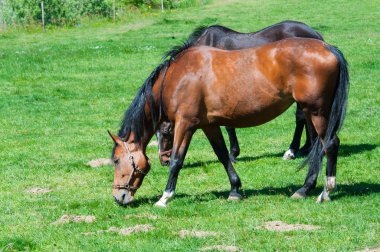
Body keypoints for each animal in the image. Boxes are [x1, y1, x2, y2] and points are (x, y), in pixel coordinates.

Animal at [108, 36, 348, 208]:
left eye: (117, 161)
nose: (119, 197)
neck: (178, 76)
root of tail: (329, 48)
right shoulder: (209, 125)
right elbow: (223, 155)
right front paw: (234, 190)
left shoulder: (185, 125)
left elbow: (178, 160)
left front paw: (165, 197)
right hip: (310, 112)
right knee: (317, 148)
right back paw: (304, 189)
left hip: (317, 112)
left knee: (330, 145)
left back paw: (325, 192)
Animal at [155, 20, 324, 166]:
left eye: (165, 132)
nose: (164, 161)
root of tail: (315, 35)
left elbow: (229, 126)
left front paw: (233, 154)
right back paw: (305, 147)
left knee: (301, 118)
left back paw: (293, 150)